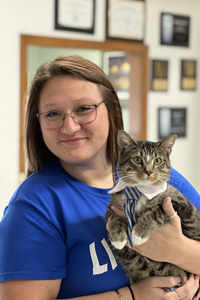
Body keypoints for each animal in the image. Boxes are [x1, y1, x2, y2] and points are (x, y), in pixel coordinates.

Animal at [105, 130, 199, 292]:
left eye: (157, 161)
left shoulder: (180, 204)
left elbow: (156, 211)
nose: (148, 171)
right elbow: (116, 217)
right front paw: (117, 236)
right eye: (137, 159)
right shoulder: (111, 208)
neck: (139, 192)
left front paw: (139, 233)